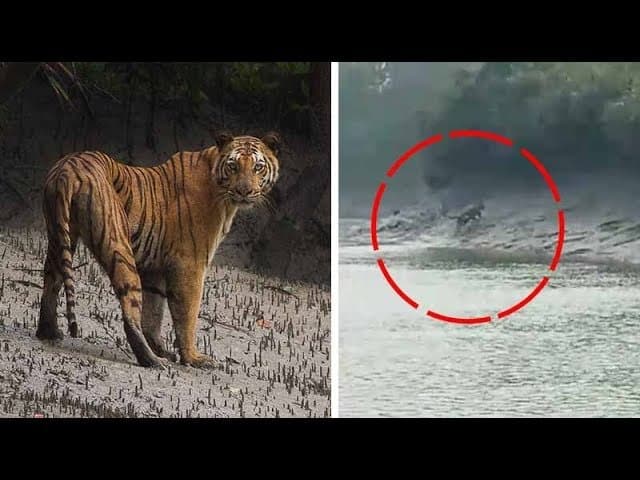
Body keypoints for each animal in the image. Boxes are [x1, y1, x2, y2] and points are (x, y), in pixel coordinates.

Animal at [36, 131, 281, 368]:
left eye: (258, 167)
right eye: (233, 166)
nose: (244, 191)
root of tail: (69, 167)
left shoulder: (155, 269)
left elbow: (154, 312)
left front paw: (162, 349)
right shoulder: (190, 264)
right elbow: (187, 314)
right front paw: (193, 358)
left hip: (60, 236)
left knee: (51, 282)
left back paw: (49, 333)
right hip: (119, 247)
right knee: (130, 311)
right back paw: (151, 361)